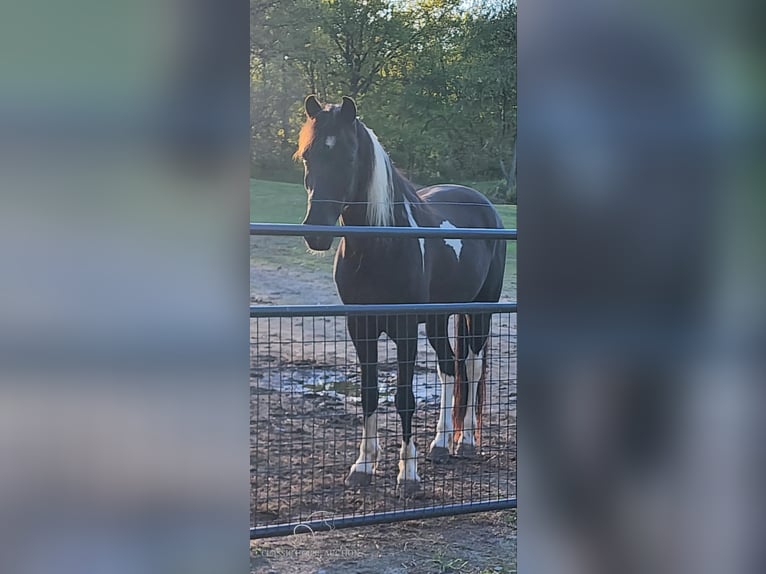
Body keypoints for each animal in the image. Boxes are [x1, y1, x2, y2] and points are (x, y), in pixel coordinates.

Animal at [296, 95, 508, 500]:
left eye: (348, 155)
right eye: (307, 155)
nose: (316, 233)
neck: (380, 245)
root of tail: (483, 204)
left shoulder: (406, 327)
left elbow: (405, 398)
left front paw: (407, 476)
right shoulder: (360, 327)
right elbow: (369, 393)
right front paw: (363, 467)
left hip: (479, 311)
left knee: (471, 368)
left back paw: (466, 443)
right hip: (440, 318)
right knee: (448, 367)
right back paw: (440, 446)